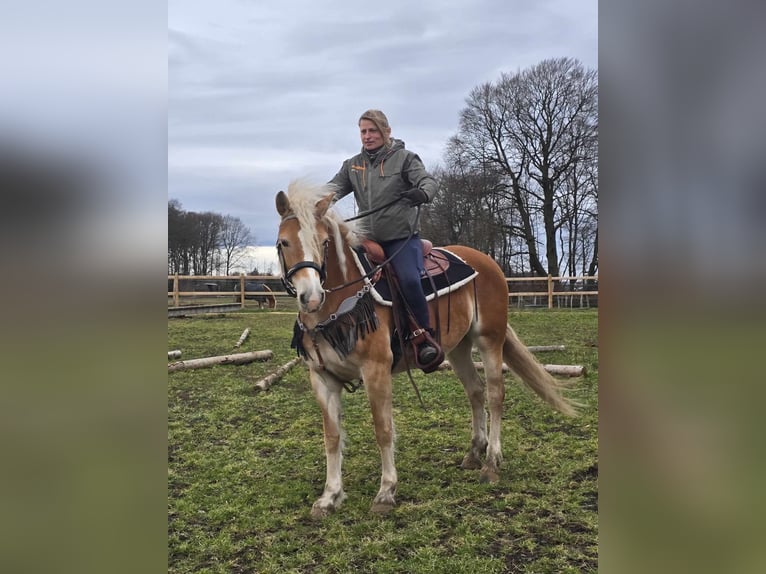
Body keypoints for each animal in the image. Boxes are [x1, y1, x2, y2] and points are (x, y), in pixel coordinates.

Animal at [274, 182, 576, 520]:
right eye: (284, 242)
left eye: (324, 242)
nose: (311, 297)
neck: (341, 305)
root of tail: (487, 263)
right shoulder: (322, 378)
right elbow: (332, 437)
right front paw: (330, 496)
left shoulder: (376, 370)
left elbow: (383, 429)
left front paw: (386, 491)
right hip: (457, 348)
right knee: (476, 391)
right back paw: (475, 453)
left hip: (490, 339)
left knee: (496, 394)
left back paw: (491, 463)